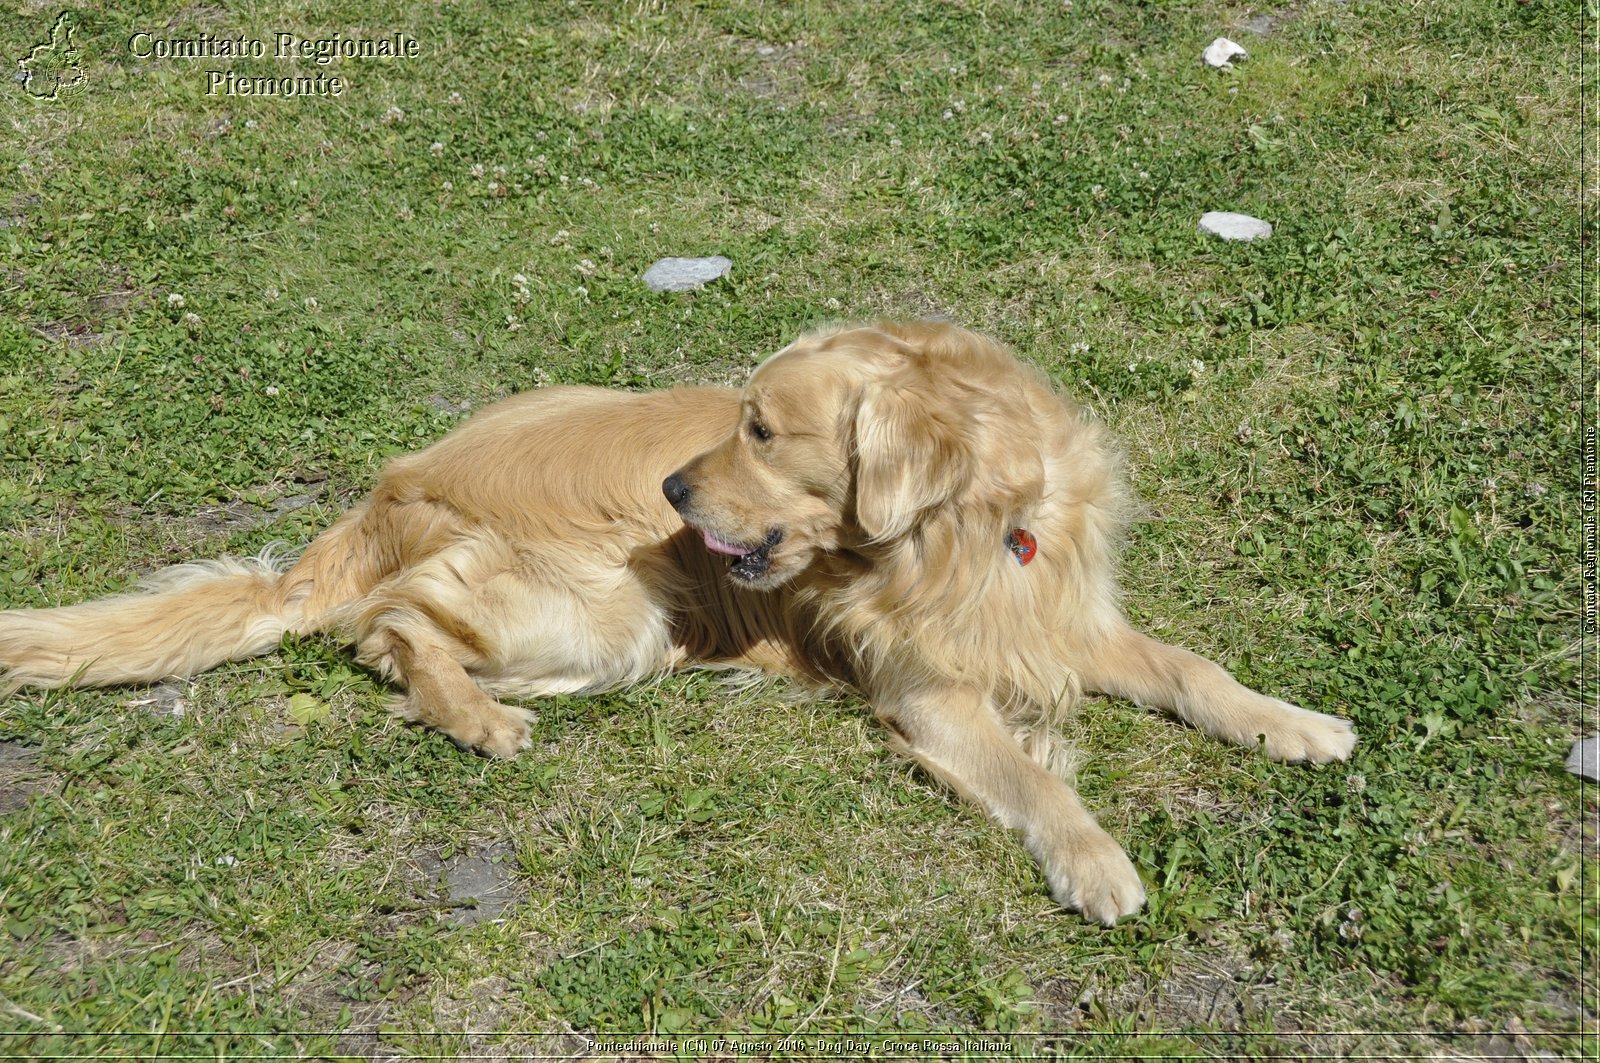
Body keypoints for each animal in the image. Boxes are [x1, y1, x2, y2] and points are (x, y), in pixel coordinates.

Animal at [0, 316, 1356, 922]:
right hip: (609, 615)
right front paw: (1094, 860)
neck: (968, 533)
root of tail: (386, 491)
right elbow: (1035, 777)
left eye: (761, 428)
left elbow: (1193, 666)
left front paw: (1293, 723)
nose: (670, 491)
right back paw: (472, 718)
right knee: (388, 626)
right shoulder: (929, 695)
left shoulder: (1060, 621)